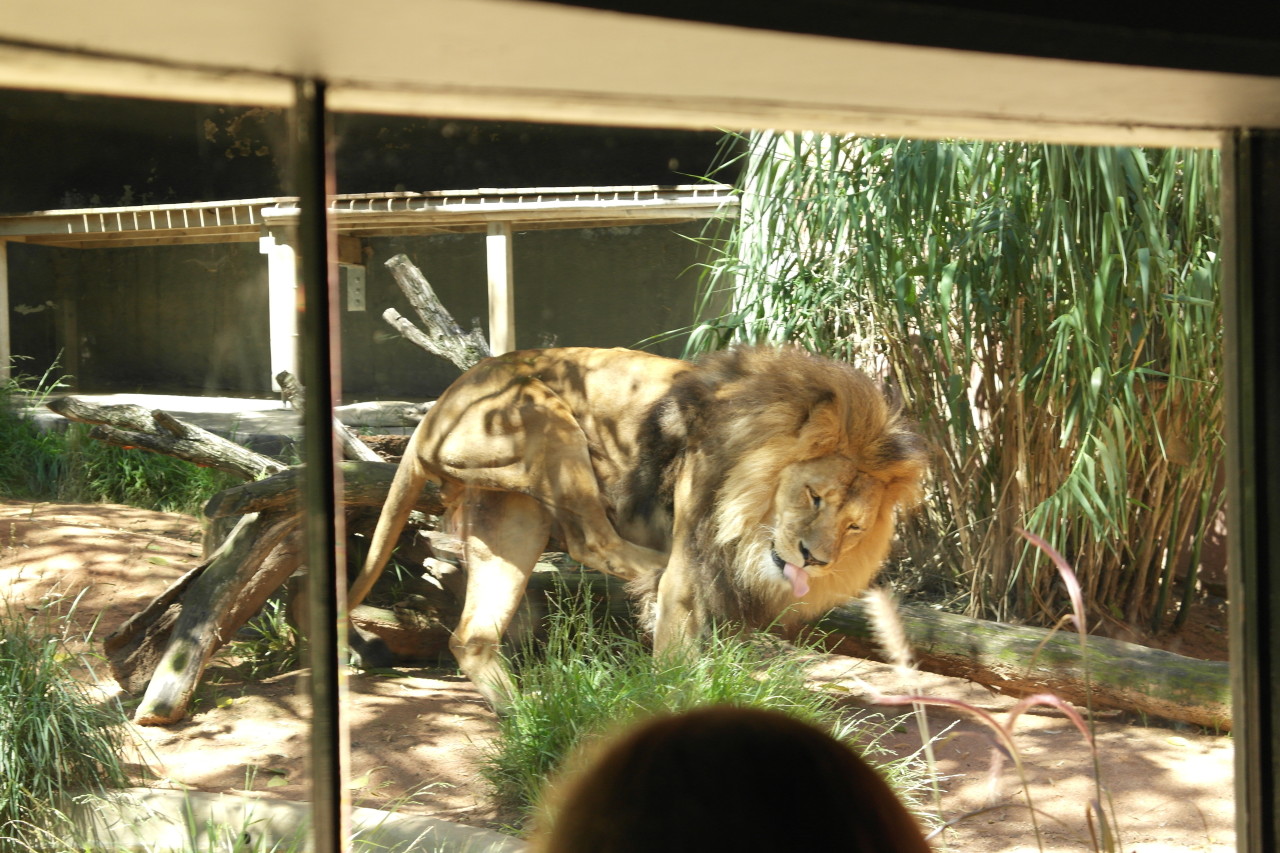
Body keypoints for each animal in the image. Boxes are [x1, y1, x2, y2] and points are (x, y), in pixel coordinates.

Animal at [348, 343, 931, 706]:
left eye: (854, 527)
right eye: (813, 496)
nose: (817, 559)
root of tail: (432, 411)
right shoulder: (689, 568)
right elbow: (676, 658)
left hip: (510, 516)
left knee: (472, 636)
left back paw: (521, 715)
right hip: (544, 418)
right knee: (592, 540)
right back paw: (652, 570)